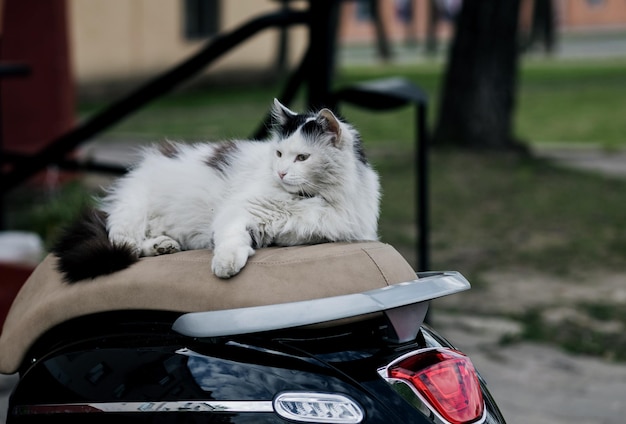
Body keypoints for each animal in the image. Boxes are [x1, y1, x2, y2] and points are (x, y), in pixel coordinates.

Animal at [51, 100, 378, 282]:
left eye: (302, 158)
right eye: (279, 154)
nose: (281, 172)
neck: (307, 199)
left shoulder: (318, 231)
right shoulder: (238, 211)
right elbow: (231, 240)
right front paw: (225, 265)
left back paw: (164, 245)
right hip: (132, 212)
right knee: (123, 244)